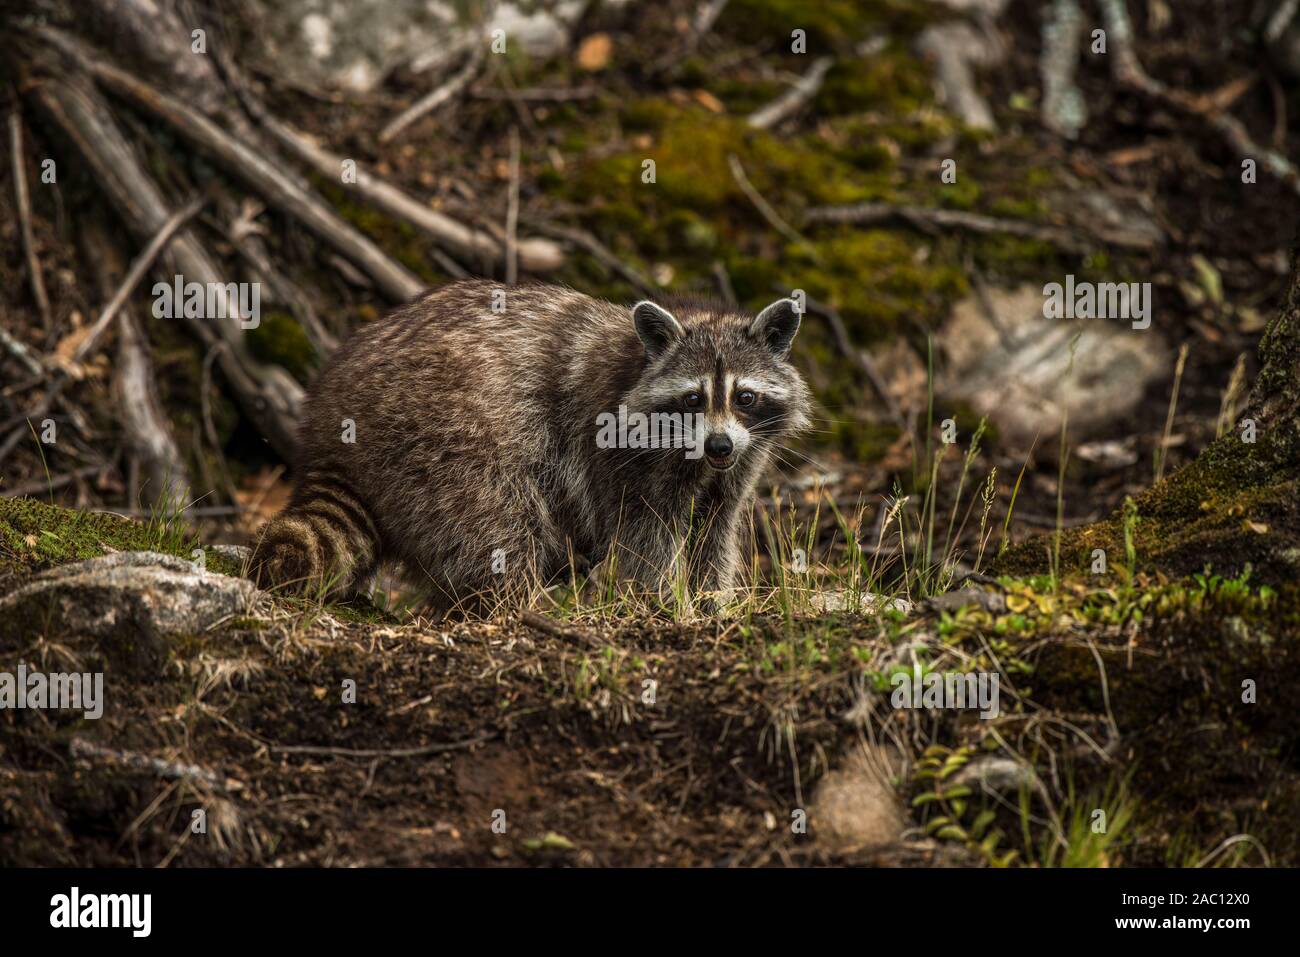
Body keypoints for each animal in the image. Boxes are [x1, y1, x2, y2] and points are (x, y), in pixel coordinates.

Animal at [248, 280, 806, 613]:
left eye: (745, 396)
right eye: (693, 398)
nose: (718, 445)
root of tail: (331, 413)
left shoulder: (742, 459)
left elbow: (717, 528)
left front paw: (713, 602)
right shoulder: (617, 448)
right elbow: (645, 534)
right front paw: (665, 605)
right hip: (439, 424)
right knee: (490, 515)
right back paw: (519, 604)